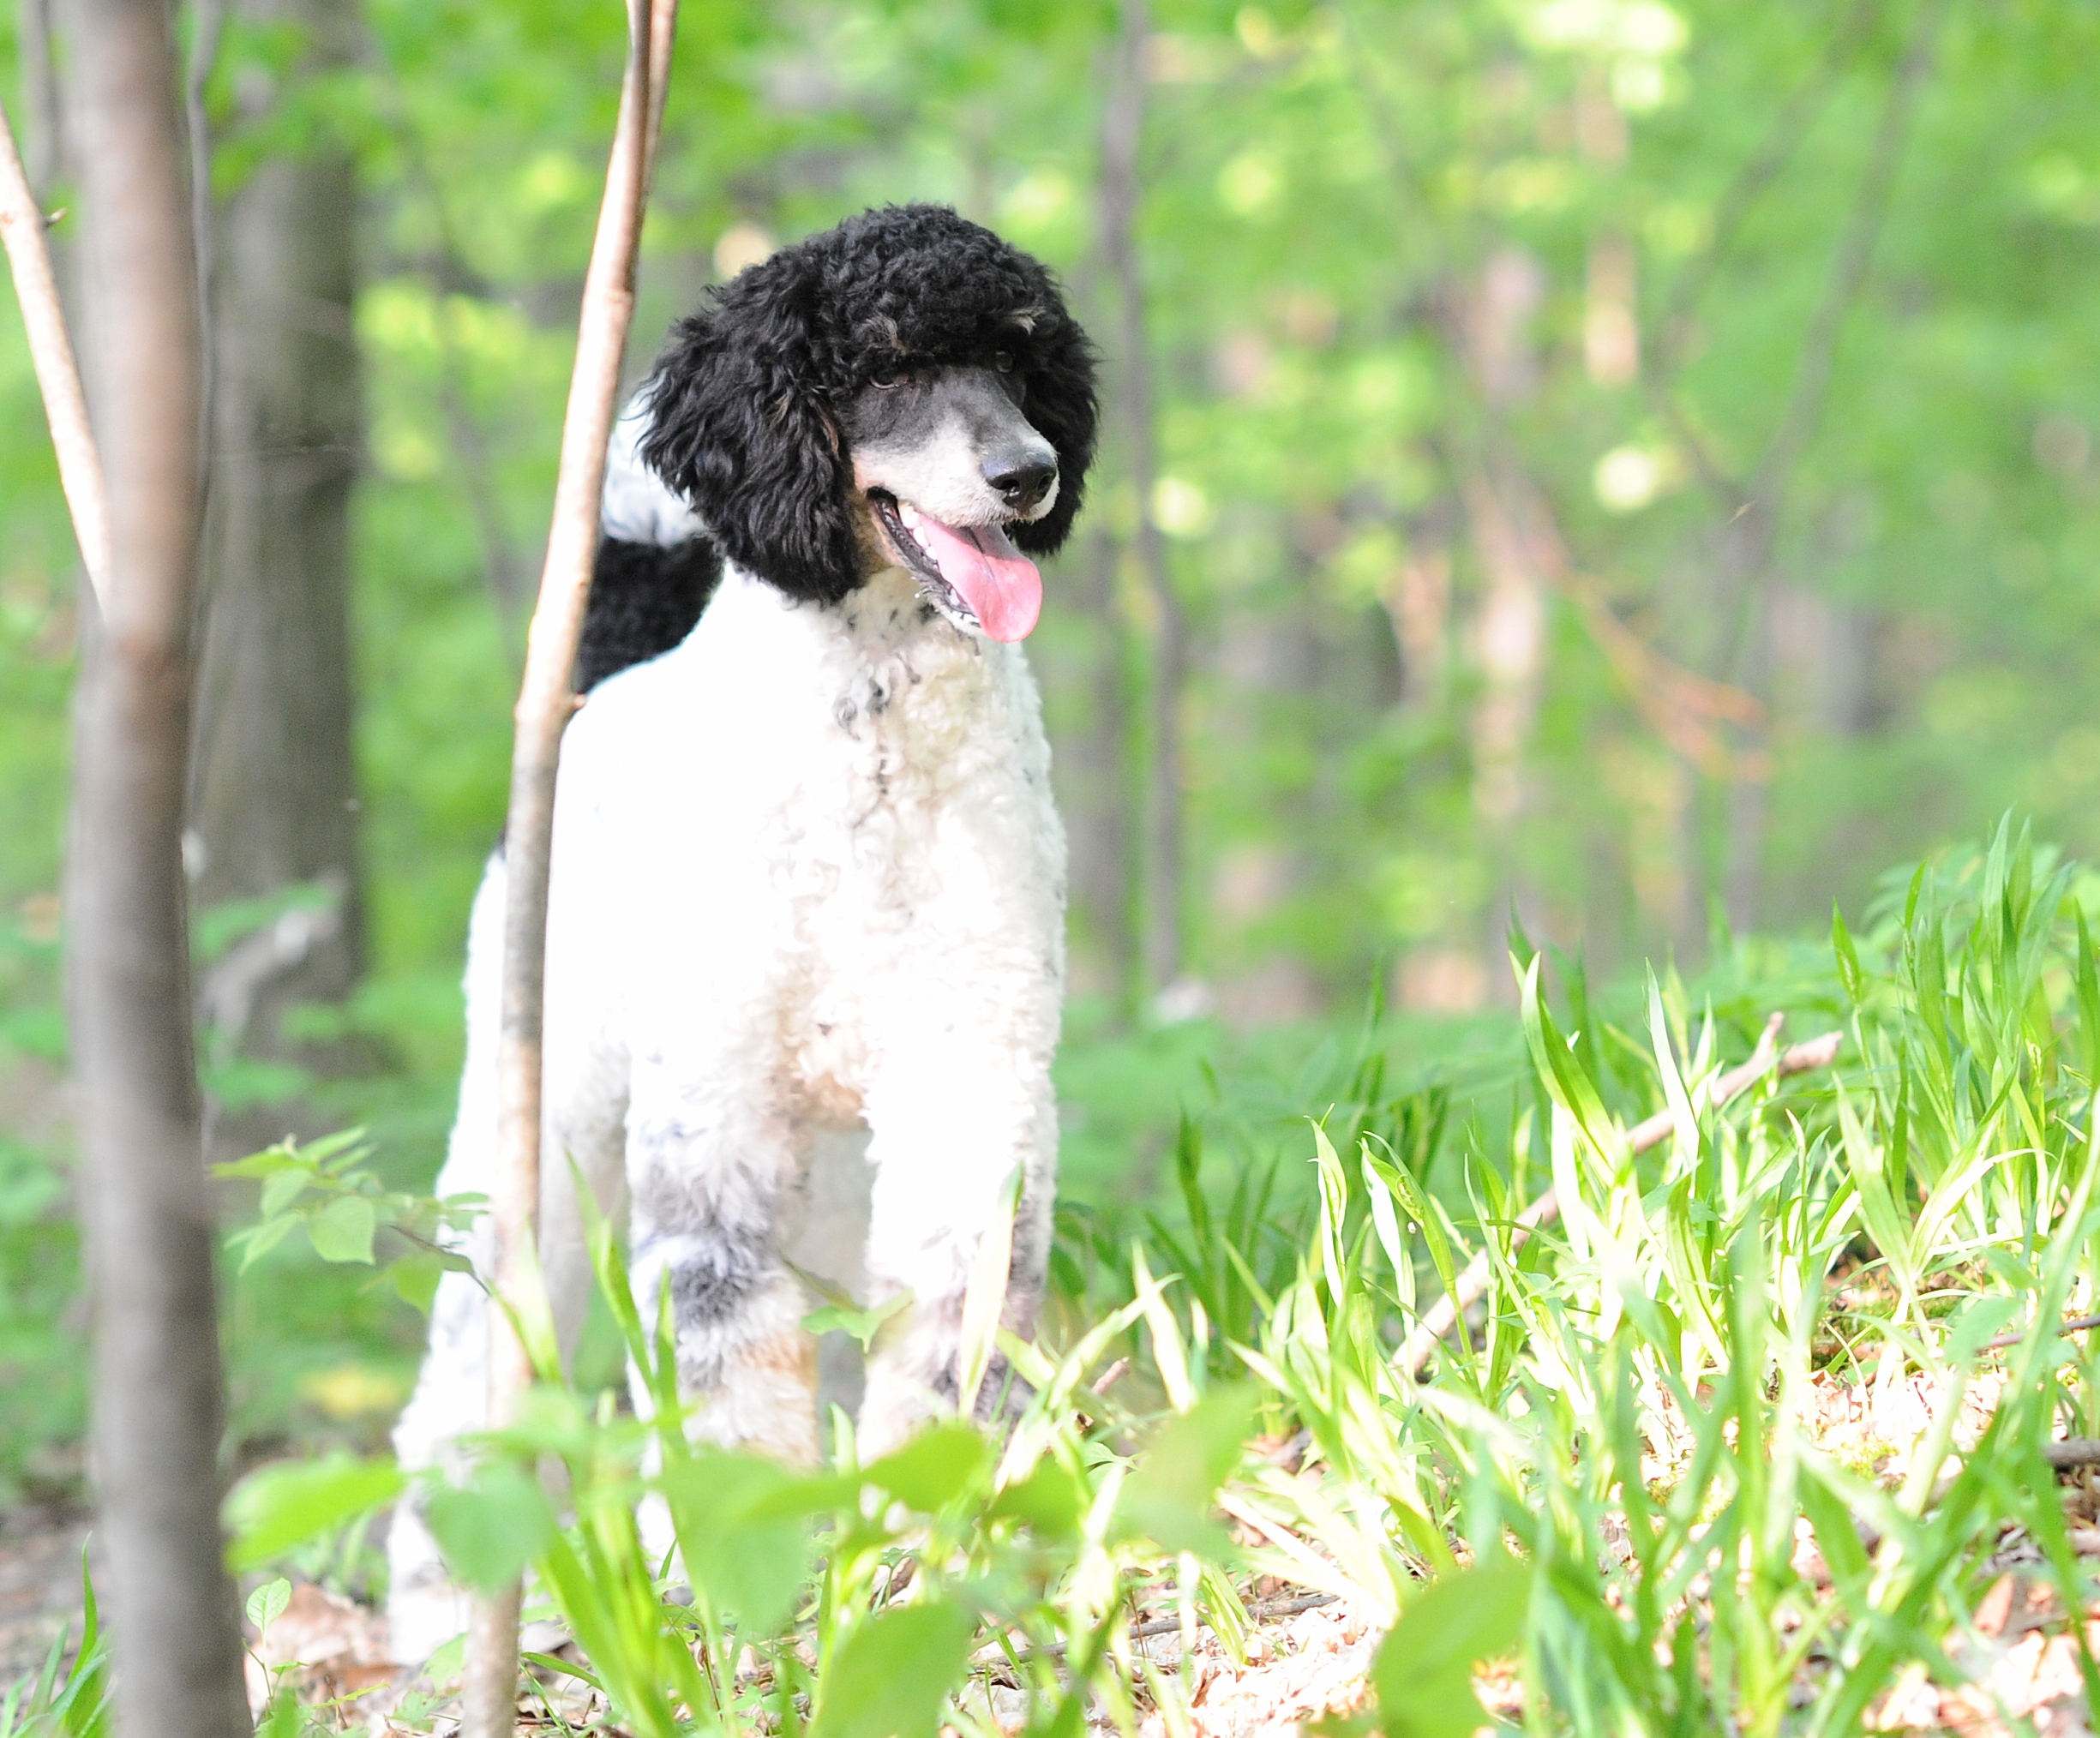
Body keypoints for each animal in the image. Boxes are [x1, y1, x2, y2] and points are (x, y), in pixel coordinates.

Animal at [386, 205, 1097, 1659]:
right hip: (543, 1119)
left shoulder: (972, 1083)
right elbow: (722, 1360)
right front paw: (746, 1575)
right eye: (883, 364)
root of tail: (606, 681)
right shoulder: (709, 1118)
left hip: (827, 1165)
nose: (1028, 472)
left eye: (1020, 355)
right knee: (466, 1366)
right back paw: (439, 1609)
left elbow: (953, 1318)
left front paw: (931, 1540)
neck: (867, 750)